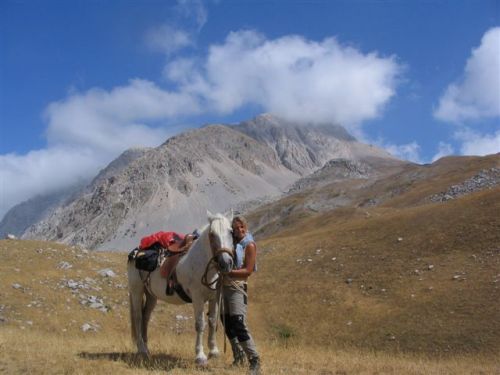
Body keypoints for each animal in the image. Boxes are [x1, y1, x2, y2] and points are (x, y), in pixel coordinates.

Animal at [127, 213, 232, 366]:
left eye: (231, 232)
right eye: (212, 234)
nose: (226, 263)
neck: (201, 263)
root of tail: (136, 252)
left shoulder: (214, 297)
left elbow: (212, 321)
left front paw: (213, 351)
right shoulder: (198, 298)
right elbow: (200, 324)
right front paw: (200, 356)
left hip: (151, 295)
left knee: (145, 317)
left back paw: (146, 348)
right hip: (136, 291)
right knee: (138, 317)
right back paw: (141, 349)